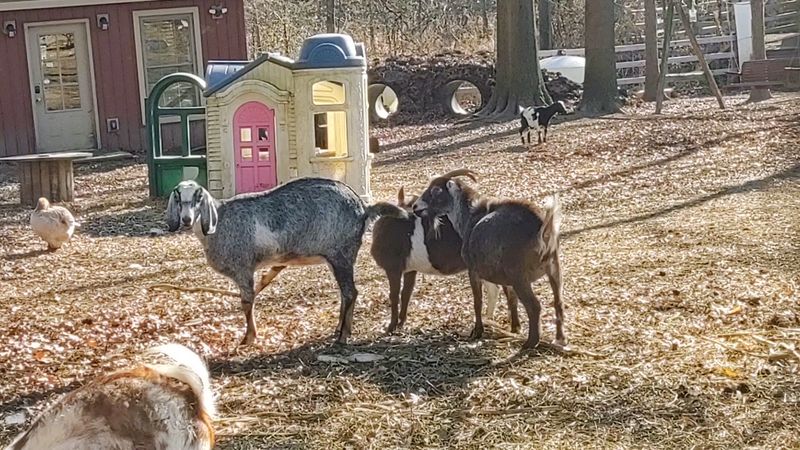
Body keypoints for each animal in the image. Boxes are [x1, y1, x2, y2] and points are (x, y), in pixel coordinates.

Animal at [166, 178, 407, 346]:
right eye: (177, 197)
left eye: (198, 197)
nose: (186, 219)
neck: (220, 221)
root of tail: (363, 209)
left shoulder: (243, 267)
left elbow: (247, 302)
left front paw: (248, 338)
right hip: (337, 258)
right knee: (345, 293)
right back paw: (338, 329)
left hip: (342, 254)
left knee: (351, 292)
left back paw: (344, 336)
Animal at [370, 187, 519, 332]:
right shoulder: (410, 270)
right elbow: (406, 294)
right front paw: (401, 323)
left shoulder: (393, 268)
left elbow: (394, 295)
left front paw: (391, 327)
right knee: (495, 290)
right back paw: (491, 321)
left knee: (508, 292)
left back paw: (512, 327)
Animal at [412, 169, 565, 349]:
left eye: (436, 190)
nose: (416, 207)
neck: (469, 217)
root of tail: (543, 229)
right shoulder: (504, 278)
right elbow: (511, 298)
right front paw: (515, 328)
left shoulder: (473, 270)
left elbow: (477, 301)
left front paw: (477, 331)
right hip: (553, 267)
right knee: (558, 302)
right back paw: (560, 339)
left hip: (519, 275)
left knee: (534, 306)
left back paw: (530, 343)